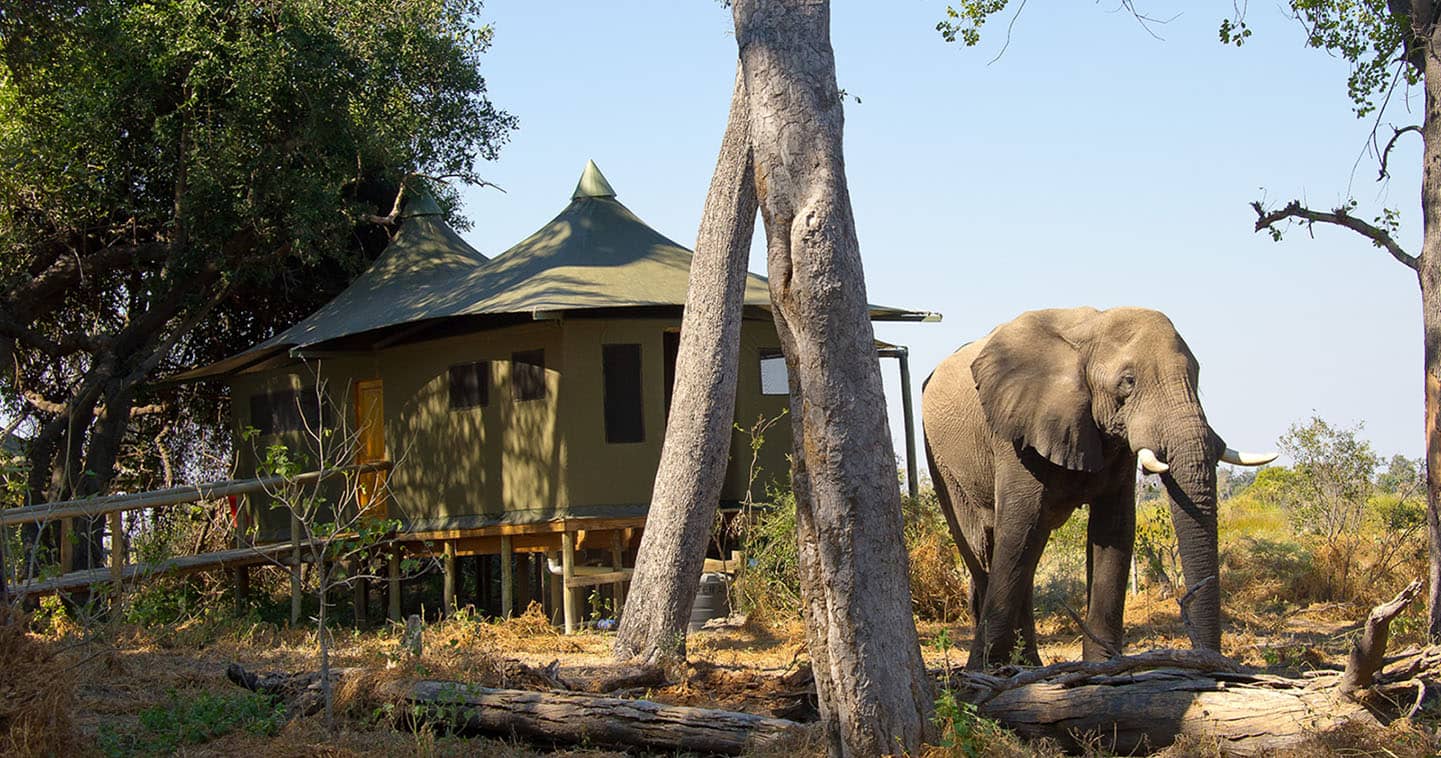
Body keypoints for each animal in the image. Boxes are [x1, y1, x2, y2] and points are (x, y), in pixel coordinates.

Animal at [922, 305, 1273, 668]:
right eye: (1128, 382)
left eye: (1197, 375)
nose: (1210, 660)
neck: (1093, 328)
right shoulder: (1015, 432)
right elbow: (1020, 526)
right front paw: (981, 672)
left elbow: (1113, 529)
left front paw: (1103, 666)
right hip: (942, 460)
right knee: (983, 545)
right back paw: (997, 665)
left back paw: (1028, 665)